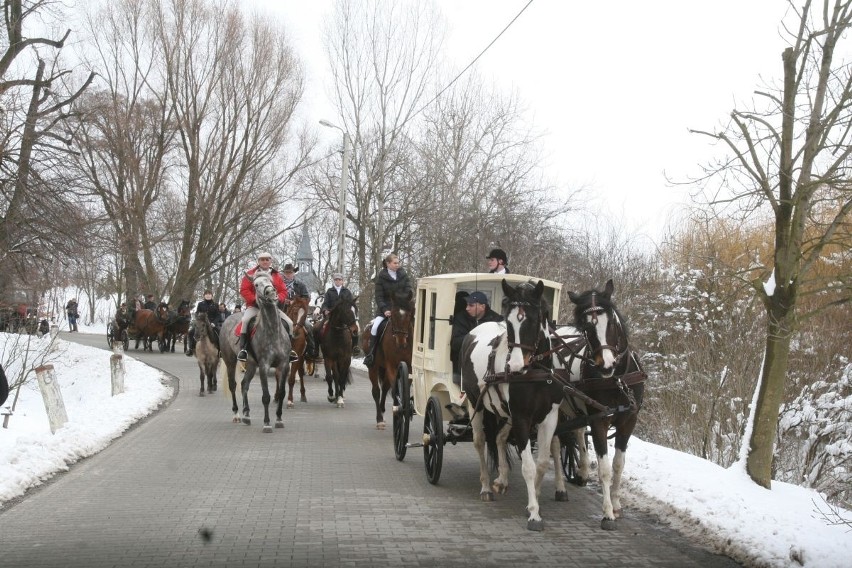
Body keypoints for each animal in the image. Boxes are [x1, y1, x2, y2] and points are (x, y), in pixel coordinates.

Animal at [220, 268, 292, 432]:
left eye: (271, 282)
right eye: (256, 285)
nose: (271, 292)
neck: (273, 332)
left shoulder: (284, 365)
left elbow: (282, 393)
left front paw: (279, 419)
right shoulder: (264, 366)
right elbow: (266, 396)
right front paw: (267, 423)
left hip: (252, 365)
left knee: (244, 385)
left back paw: (247, 415)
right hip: (230, 361)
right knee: (233, 385)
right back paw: (237, 414)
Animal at [360, 290, 412, 428]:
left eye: (408, 315)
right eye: (392, 316)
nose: (401, 342)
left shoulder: (409, 368)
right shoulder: (392, 366)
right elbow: (395, 391)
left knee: (384, 388)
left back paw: (383, 411)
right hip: (373, 367)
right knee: (376, 391)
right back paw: (379, 419)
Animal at [460, 280, 564, 532]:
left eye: (534, 320)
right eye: (508, 324)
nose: (515, 366)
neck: (536, 375)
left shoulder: (549, 418)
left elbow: (542, 463)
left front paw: (534, 500)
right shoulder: (522, 418)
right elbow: (528, 466)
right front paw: (534, 514)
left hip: (504, 413)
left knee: (498, 438)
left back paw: (501, 480)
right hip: (475, 404)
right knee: (480, 441)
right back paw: (486, 487)